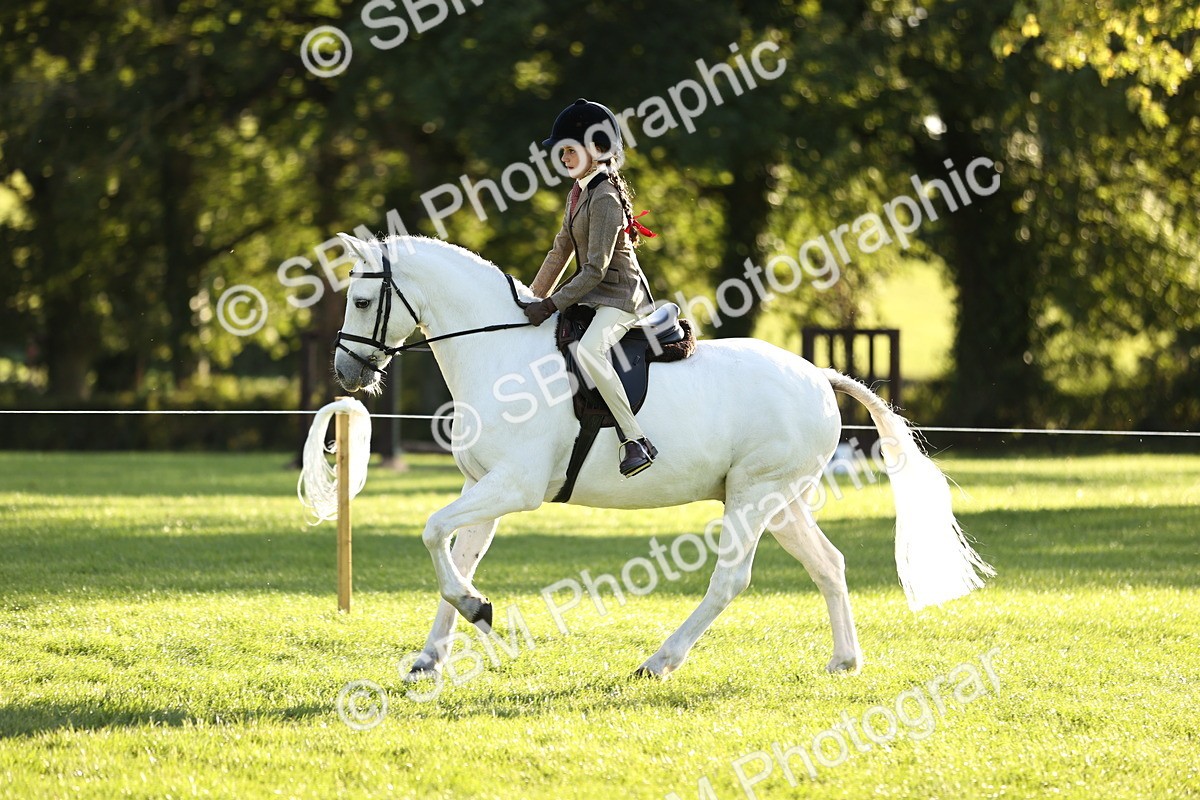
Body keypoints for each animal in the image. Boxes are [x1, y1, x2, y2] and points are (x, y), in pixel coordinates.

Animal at [331, 233, 993, 679]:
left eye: (361, 302)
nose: (346, 373)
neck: (499, 354)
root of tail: (817, 375)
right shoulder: (483, 489)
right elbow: (455, 553)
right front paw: (434, 652)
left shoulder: (514, 487)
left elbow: (431, 531)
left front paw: (477, 609)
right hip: (779, 499)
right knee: (828, 565)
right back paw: (845, 660)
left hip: (753, 496)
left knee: (731, 579)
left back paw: (660, 660)